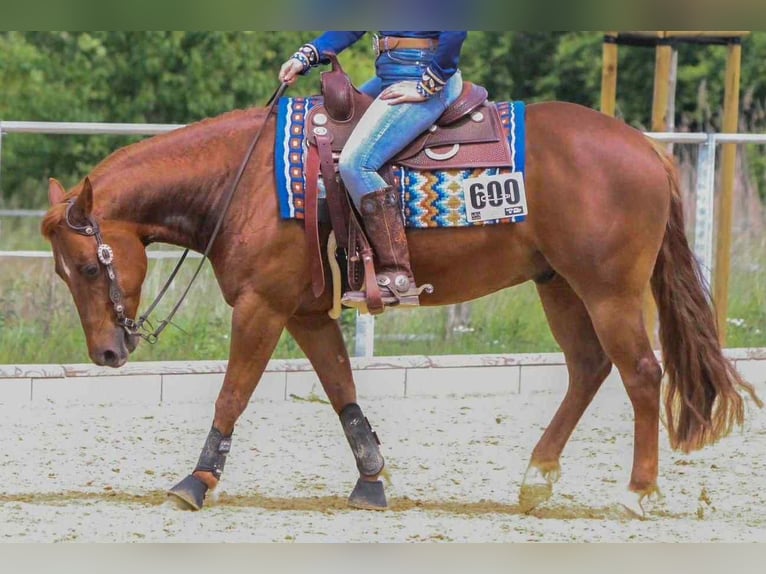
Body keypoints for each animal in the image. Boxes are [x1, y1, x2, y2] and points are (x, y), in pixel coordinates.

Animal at [41, 97, 761, 516]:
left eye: (88, 266)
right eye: (60, 269)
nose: (106, 352)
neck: (241, 180)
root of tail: (648, 149)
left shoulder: (262, 307)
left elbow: (232, 394)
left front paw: (195, 481)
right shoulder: (306, 314)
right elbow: (342, 390)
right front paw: (371, 481)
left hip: (608, 290)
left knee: (642, 373)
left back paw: (638, 491)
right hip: (558, 284)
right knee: (588, 369)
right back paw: (536, 478)